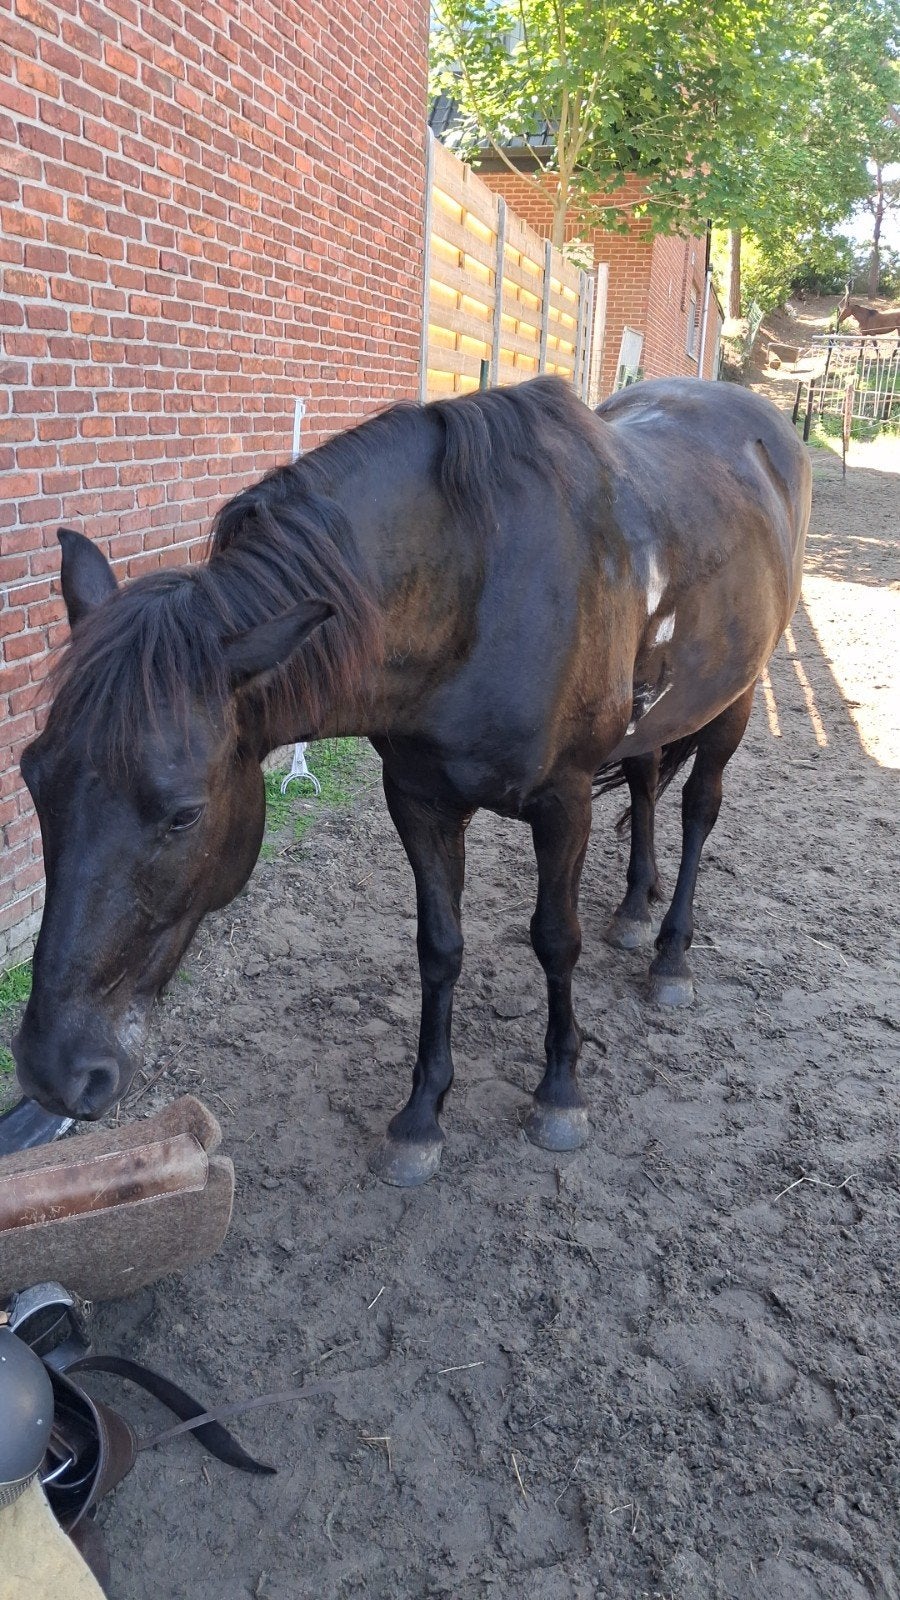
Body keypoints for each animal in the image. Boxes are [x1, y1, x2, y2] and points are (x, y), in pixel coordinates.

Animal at [14, 376, 811, 1185]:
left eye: (182, 814)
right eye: (32, 778)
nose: (54, 1071)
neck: (479, 586)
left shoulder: (565, 801)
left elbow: (556, 938)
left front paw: (560, 1093)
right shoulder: (419, 801)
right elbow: (439, 947)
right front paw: (422, 1116)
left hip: (736, 700)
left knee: (698, 810)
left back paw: (672, 954)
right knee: (648, 780)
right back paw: (633, 908)